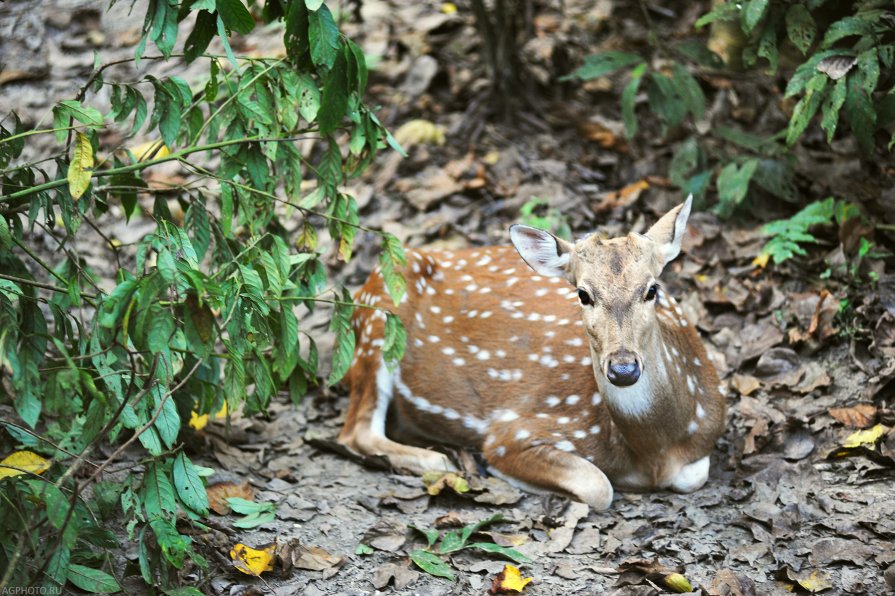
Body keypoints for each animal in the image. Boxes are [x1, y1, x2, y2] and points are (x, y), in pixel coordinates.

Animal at [340, 198, 724, 510]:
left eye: (652, 289)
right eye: (583, 294)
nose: (623, 368)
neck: (654, 450)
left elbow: (694, 475)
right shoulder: (514, 431)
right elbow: (598, 485)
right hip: (378, 320)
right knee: (356, 432)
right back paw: (444, 461)